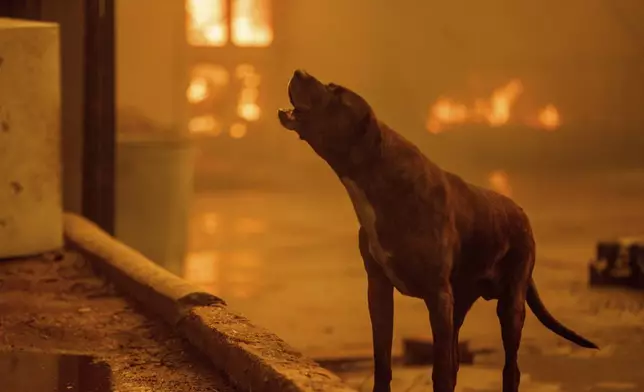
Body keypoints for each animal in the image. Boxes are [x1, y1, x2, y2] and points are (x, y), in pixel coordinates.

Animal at [276, 69, 600, 392]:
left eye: (336, 92)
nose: (298, 72)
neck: (377, 175)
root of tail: (520, 212)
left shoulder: (438, 297)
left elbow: (440, 368)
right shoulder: (379, 288)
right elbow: (383, 359)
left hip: (510, 304)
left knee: (510, 367)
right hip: (462, 302)